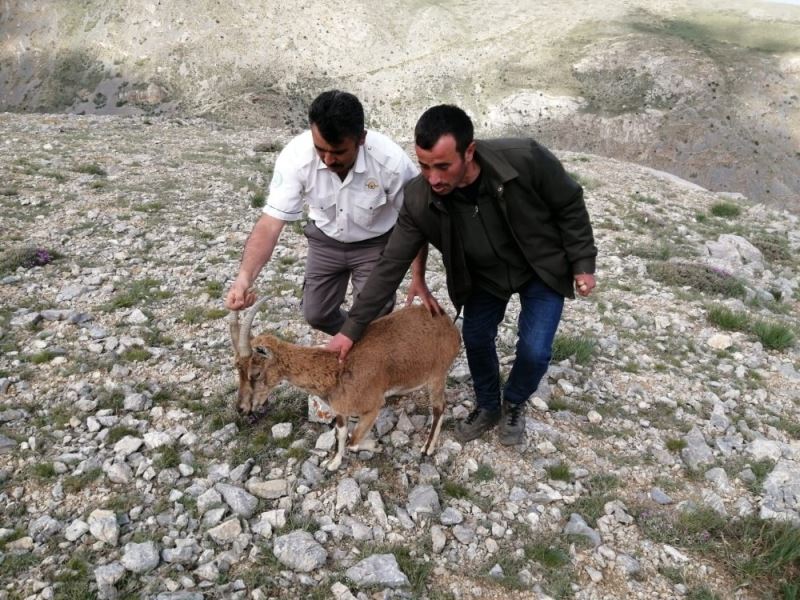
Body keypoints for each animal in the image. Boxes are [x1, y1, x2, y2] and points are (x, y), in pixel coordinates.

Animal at [228, 302, 460, 472]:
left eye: (255, 373)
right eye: (236, 369)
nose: (241, 408)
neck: (335, 371)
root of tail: (449, 323)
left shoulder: (373, 406)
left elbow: (353, 441)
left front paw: (376, 445)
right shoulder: (341, 411)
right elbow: (341, 435)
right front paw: (333, 463)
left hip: (437, 375)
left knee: (440, 407)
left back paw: (427, 448)